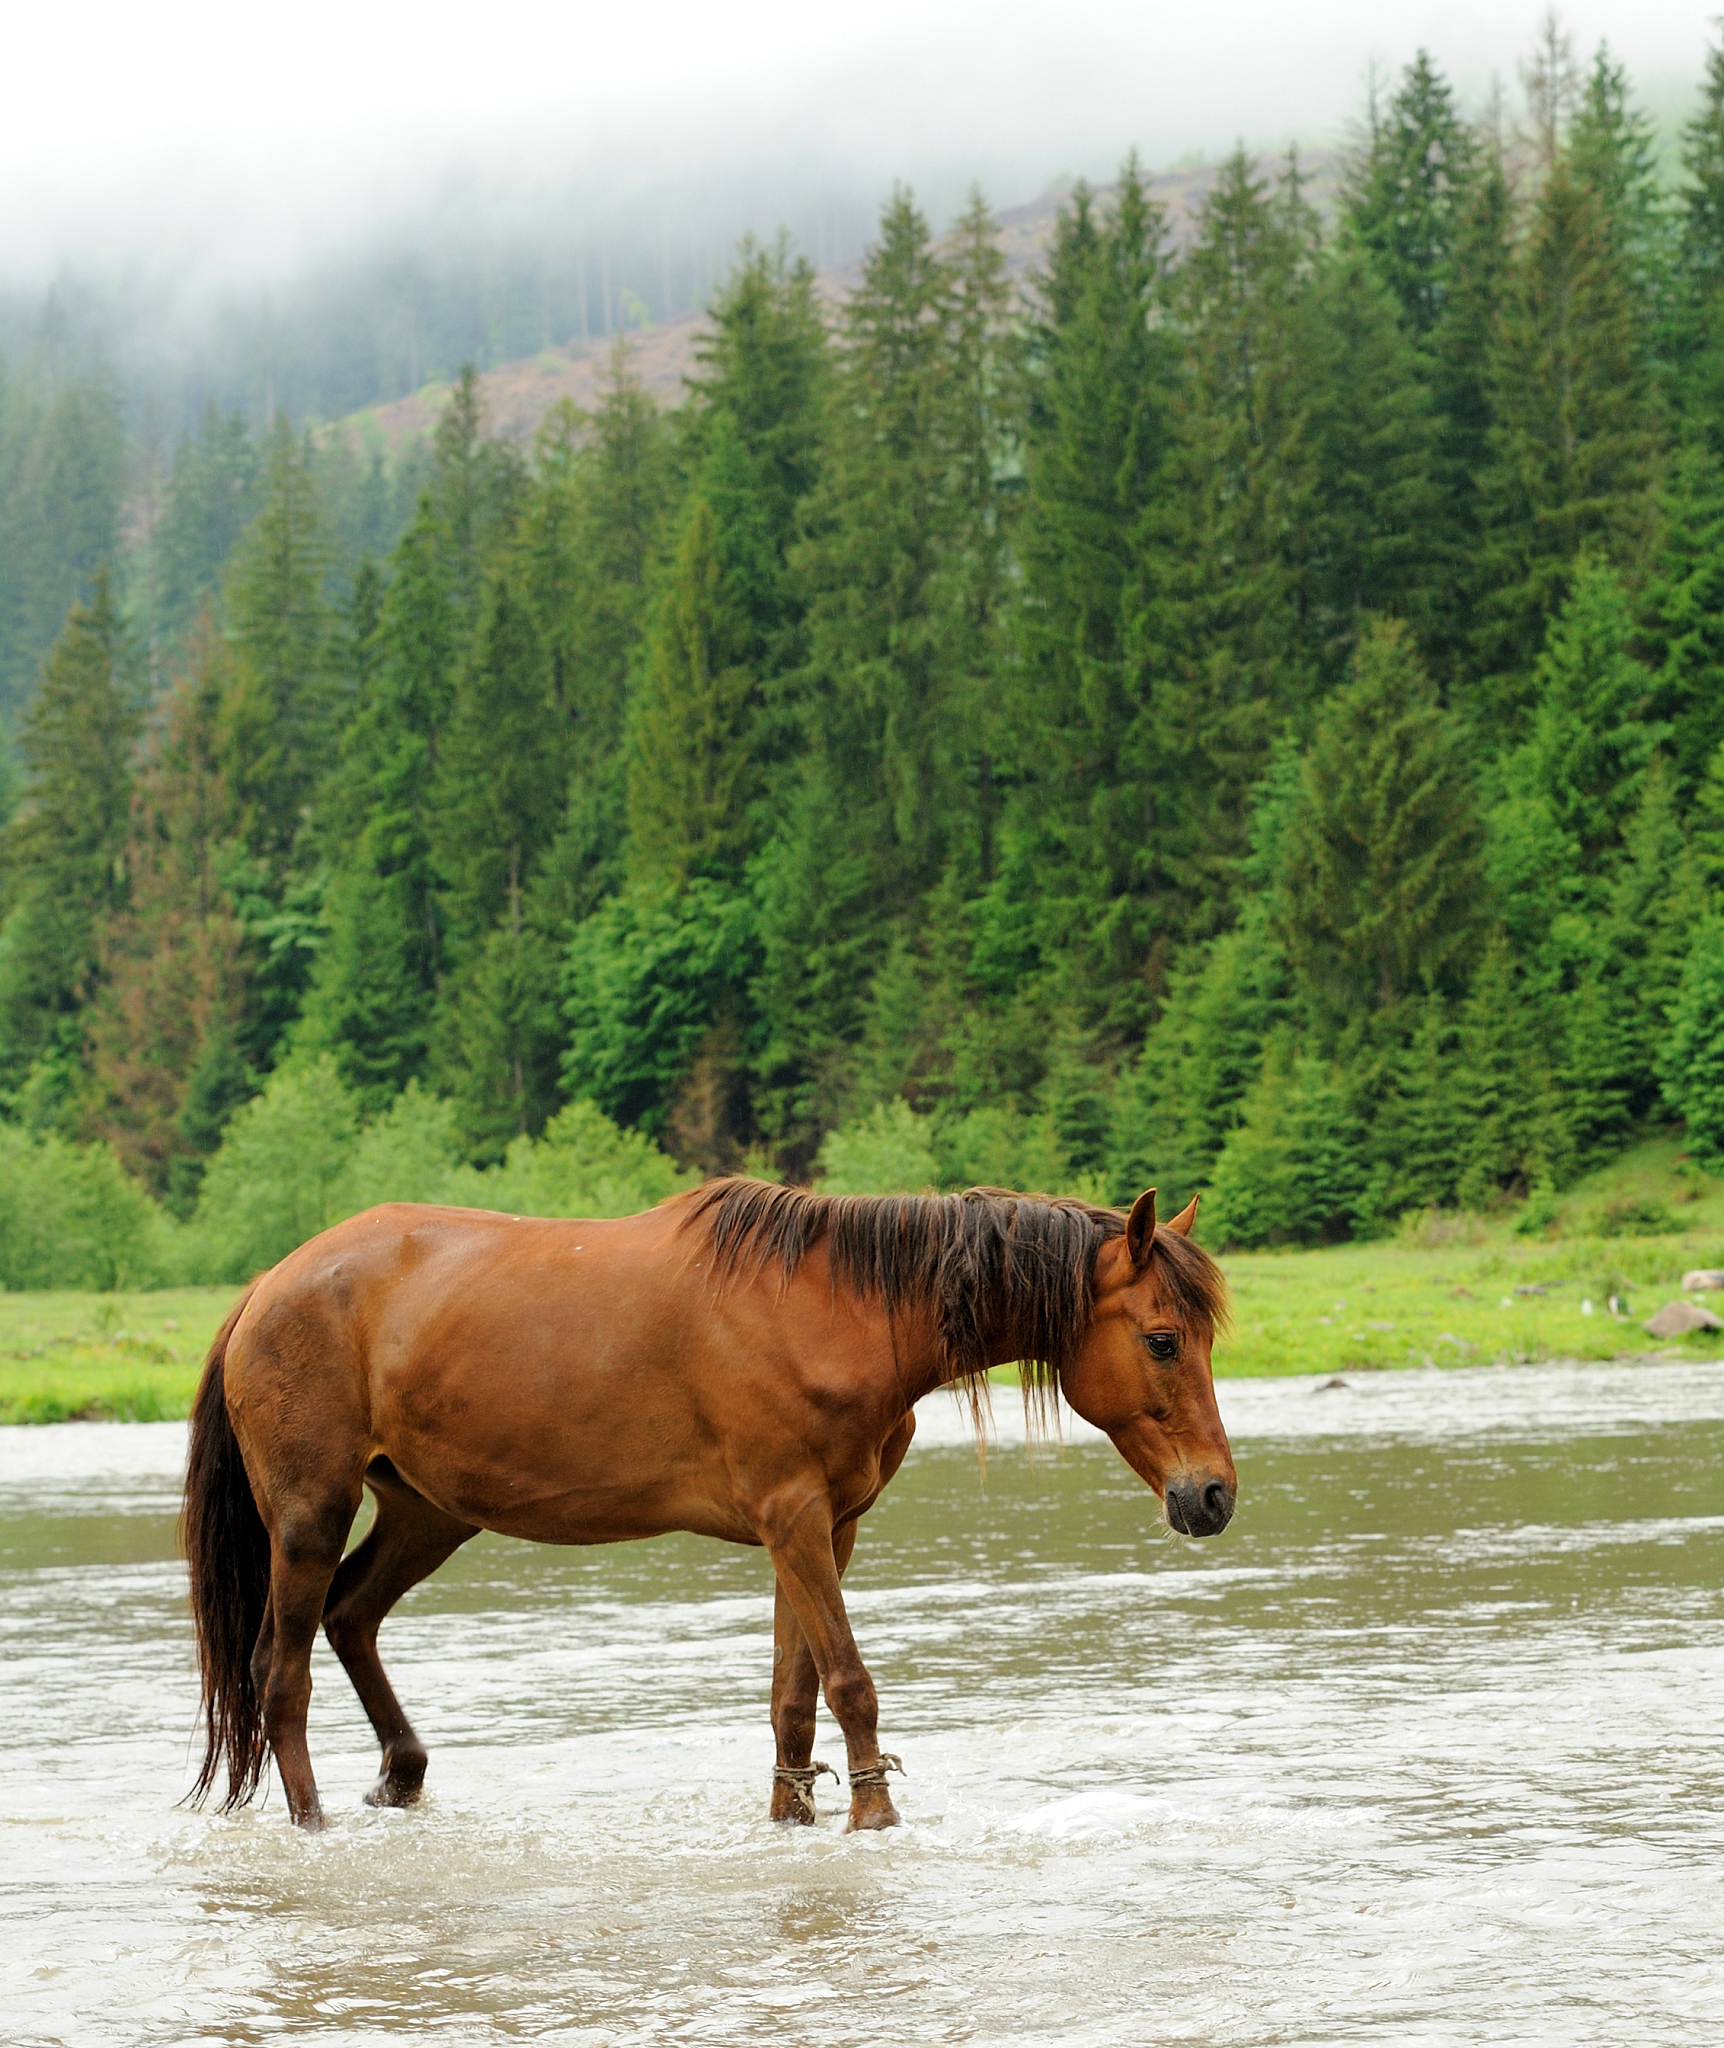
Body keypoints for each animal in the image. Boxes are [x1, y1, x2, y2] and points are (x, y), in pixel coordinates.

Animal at [181, 1179, 1235, 1833]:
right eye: (1162, 1340)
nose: (1214, 1495)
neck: (838, 1311)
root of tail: (267, 1288)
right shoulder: (793, 1518)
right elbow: (849, 1680)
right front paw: (875, 1814)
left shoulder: (825, 1528)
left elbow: (794, 1697)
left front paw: (794, 1816)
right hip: (309, 1516)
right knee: (281, 1669)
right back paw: (310, 1822)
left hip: (428, 1512)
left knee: (352, 1617)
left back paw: (401, 1777)